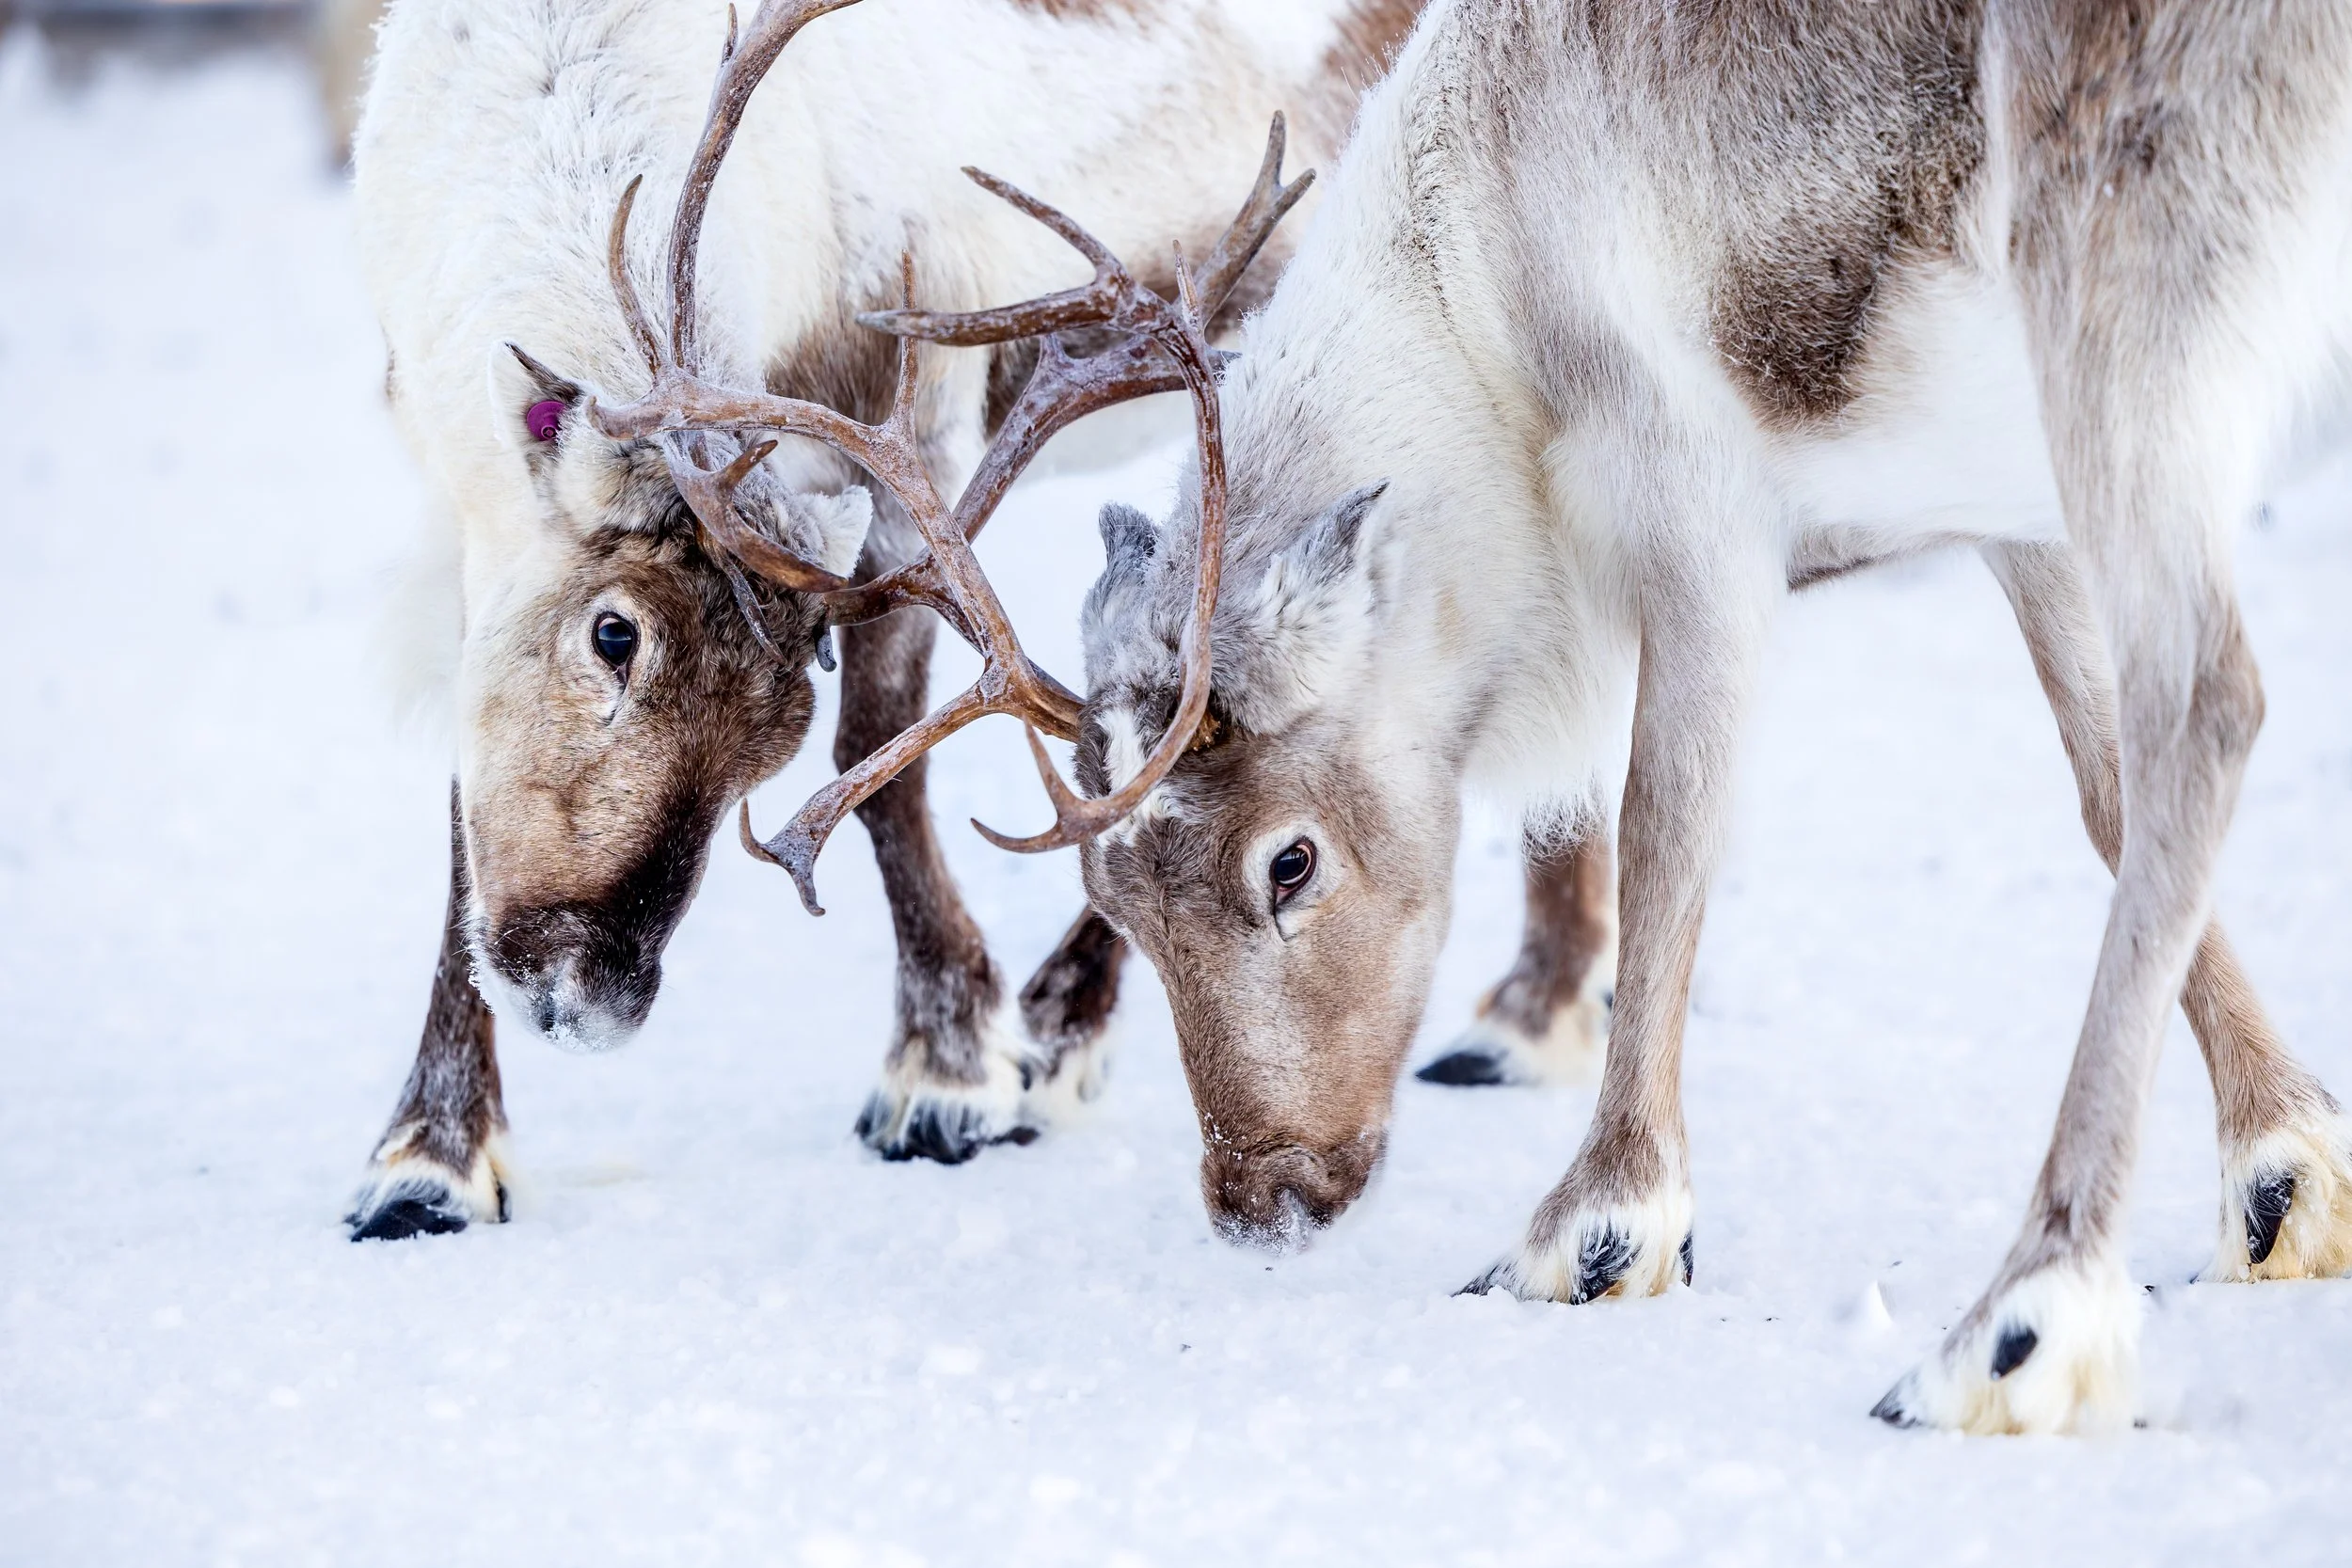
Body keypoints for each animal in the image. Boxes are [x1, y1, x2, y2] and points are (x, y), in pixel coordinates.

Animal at [342, 0, 1620, 1240]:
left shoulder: (919, 414)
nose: (585, 998)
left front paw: (944, 1072)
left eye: (768, 741)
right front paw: (428, 1156)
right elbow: (461, 802)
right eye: (615, 634)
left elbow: (878, 754)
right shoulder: (449, 501)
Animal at [704, 0, 2352, 1435]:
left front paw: (1606, 1217)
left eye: (1289, 860)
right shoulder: (2007, 502)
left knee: (2210, 696)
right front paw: (2285, 1165)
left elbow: (1665, 822)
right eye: (1115, 894)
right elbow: (2103, 793)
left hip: (2122, 228)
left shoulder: (1700, 507)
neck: (1481, 295)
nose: (1257, 1204)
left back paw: (2022, 1317)